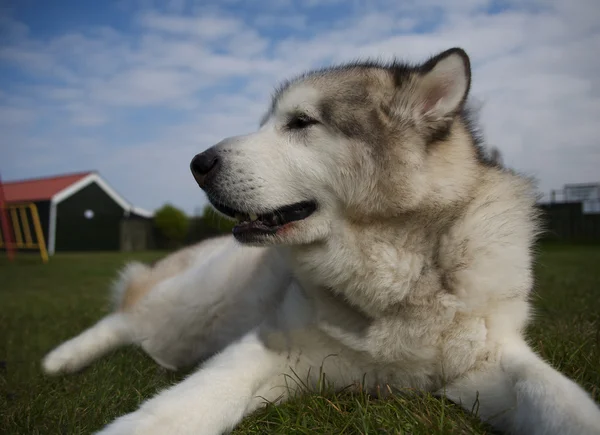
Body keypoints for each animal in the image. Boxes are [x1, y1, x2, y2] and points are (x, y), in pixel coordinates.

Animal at [42, 48, 600, 435]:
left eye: (301, 123)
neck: (395, 279)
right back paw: (61, 360)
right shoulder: (269, 347)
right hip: (196, 311)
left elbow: (562, 402)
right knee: (126, 319)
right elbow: (191, 401)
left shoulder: (490, 363)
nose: (197, 164)